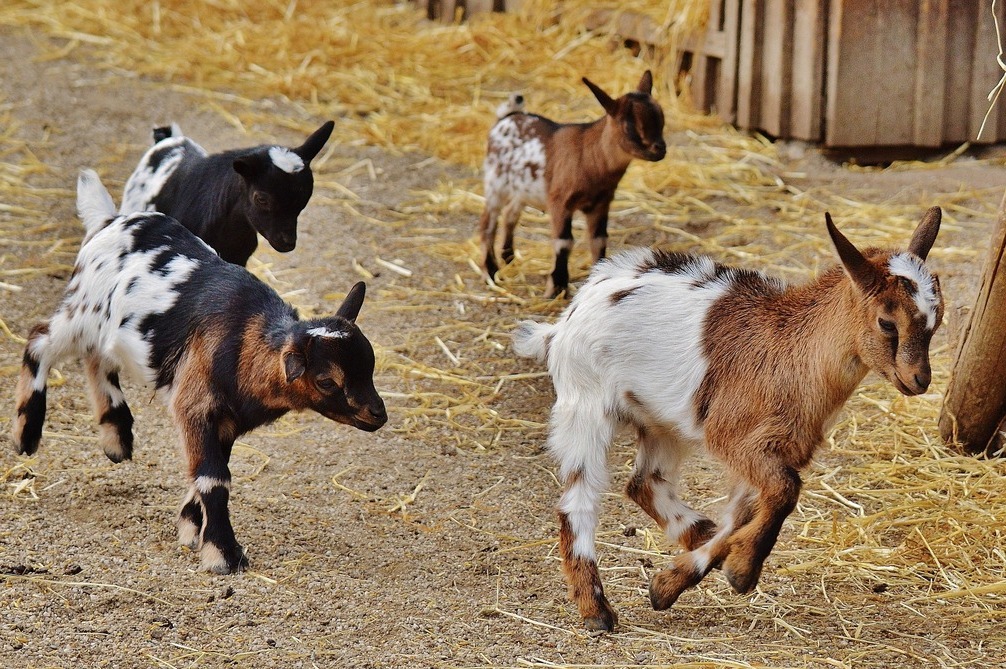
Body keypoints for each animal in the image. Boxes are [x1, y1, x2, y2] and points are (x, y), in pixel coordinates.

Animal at [13, 170, 386, 571]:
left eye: (370, 364)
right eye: (326, 380)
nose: (378, 414)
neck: (244, 339)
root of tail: (109, 220)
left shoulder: (227, 421)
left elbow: (207, 472)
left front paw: (192, 530)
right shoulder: (195, 404)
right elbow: (213, 478)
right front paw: (223, 553)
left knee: (96, 358)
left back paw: (116, 437)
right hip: (82, 313)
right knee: (40, 340)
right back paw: (26, 434)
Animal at [474, 70, 663, 297]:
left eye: (661, 119)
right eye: (629, 126)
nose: (660, 149)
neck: (589, 156)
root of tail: (507, 117)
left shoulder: (601, 203)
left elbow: (599, 239)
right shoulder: (560, 202)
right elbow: (564, 242)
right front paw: (556, 288)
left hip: (522, 189)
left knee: (511, 213)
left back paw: (508, 257)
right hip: (495, 183)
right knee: (488, 222)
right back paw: (490, 271)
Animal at [515, 207, 945, 627]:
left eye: (936, 322)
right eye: (887, 322)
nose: (919, 380)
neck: (793, 350)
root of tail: (564, 321)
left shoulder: (774, 449)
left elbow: (746, 512)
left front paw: (672, 582)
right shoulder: (736, 438)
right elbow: (785, 491)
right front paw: (741, 571)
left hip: (662, 422)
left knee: (645, 483)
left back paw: (697, 533)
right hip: (585, 405)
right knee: (579, 500)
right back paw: (597, 611)